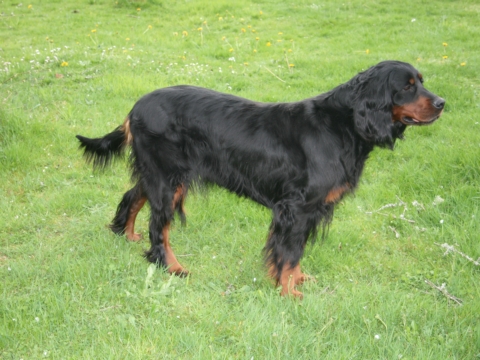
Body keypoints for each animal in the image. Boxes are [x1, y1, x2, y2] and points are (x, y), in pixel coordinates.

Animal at [77, 60, 444, 296]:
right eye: (407, 86)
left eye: (422, 81)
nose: (442, 103)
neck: (343, 123)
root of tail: (136, 108)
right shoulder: (296, 208)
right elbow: (289, 251)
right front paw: (288, 291)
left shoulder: (303, 210)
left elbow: (295, 253)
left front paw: (297, 280)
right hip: (169, 179)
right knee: (159, 227)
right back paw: (172, 266)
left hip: (159, 174)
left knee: (133, 196)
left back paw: (126, 234)